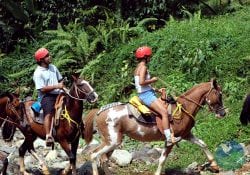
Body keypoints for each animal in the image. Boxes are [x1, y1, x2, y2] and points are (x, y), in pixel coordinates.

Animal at [84, 79, 227, 175]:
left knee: (103, 159)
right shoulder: (170, 141)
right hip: (112, 142)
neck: (184, 108)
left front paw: (214, 165)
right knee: (94, 155)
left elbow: (203, 144)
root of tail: (99, 112)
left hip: (113, 143)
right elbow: (162, 160)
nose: (223, 113)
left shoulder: (186, 135)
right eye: (219, 94)